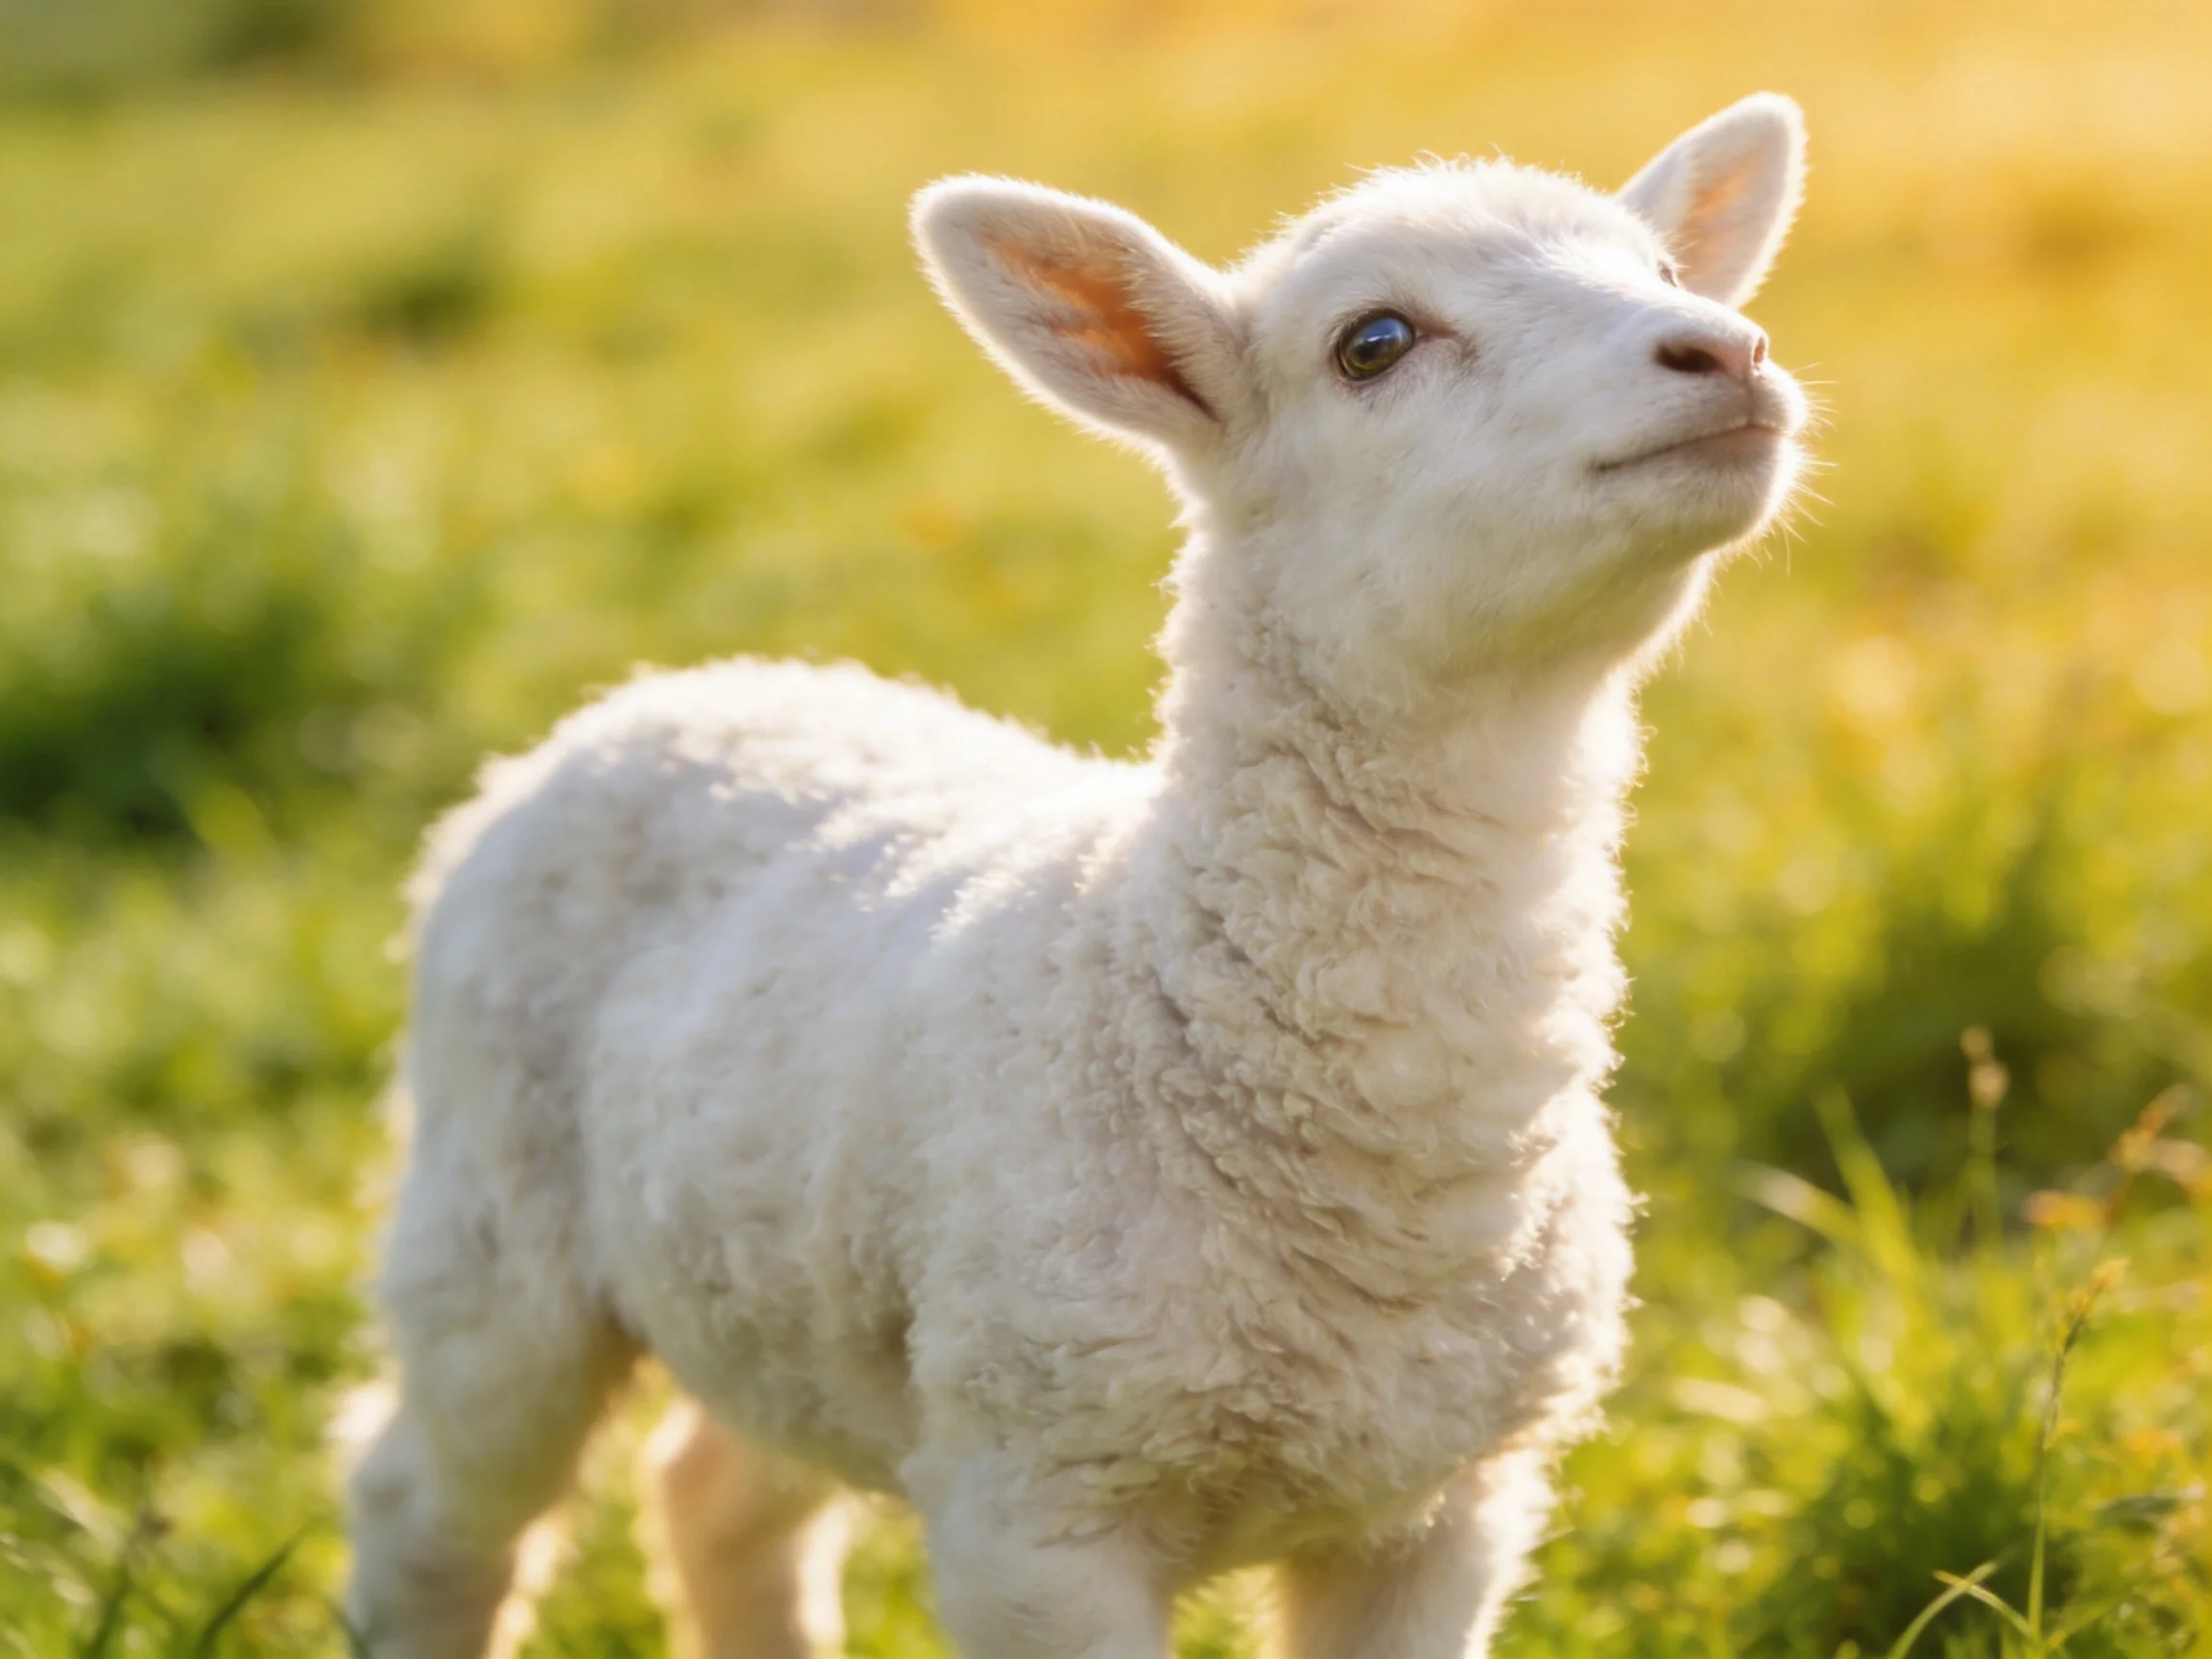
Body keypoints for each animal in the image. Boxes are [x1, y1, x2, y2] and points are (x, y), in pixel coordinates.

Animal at [345, 92, 1810, 1659]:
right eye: (1373, 342)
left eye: (1667, 273)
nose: (1726, 350)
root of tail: (666, 690)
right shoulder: (1036, 1503)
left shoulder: (1444, 1507)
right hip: (496, 1224)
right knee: (425, 1502)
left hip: (781, 1298)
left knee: (717, 1495)